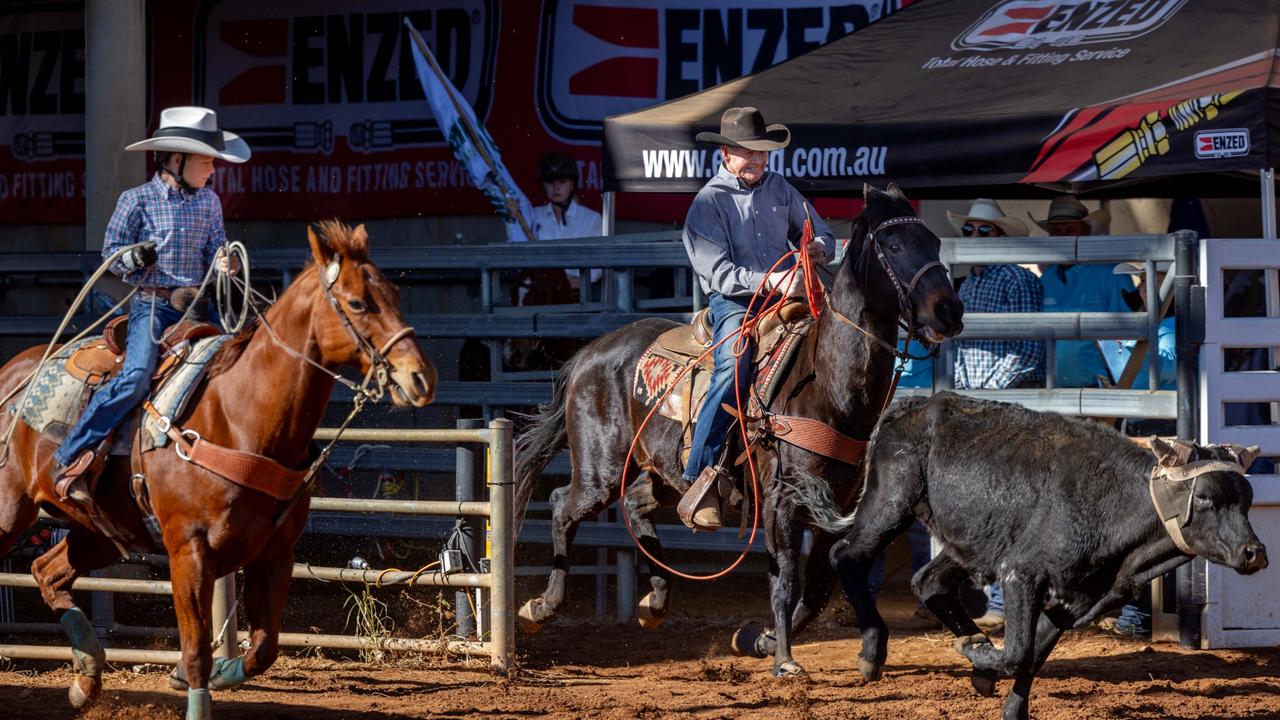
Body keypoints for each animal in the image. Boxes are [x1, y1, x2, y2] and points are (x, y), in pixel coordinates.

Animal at [0, 221, 435, 712]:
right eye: (358, 302)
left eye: (395, 295)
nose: (421, 377)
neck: (239, 415)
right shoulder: (189, 551)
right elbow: (195, 651)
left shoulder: (275, 553)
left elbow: (264, 648)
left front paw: (217, 671)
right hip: (10, 513)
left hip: (103, 533)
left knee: (47, 571)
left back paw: (86, 677)